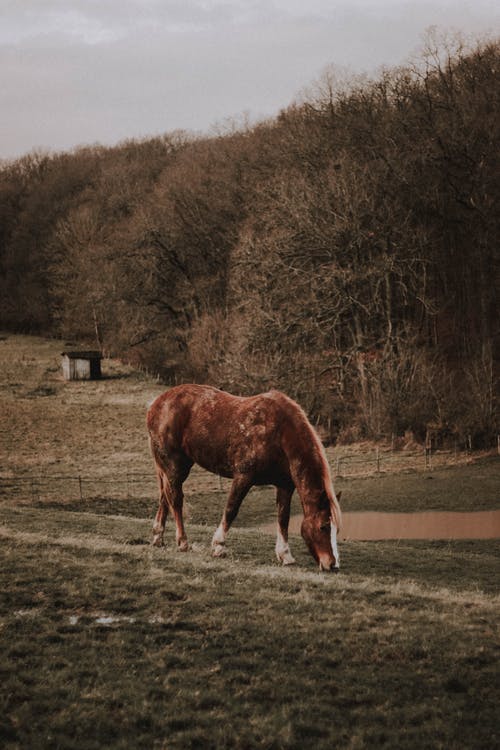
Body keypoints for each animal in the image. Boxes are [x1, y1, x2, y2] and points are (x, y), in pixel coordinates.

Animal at [146, 384, 342, 572]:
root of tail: (156, 404)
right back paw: (182, 542)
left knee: (165, 497)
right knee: (175, 500)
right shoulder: (243, 477)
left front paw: (285, 555)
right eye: (323, 526)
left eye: (335, 530)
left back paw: (158, 537)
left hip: (171, 467)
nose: (332, 564)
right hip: (175, 466)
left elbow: (283, 518)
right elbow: (231, 509)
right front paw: (218, 546)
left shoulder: (284, 485)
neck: (280, 433)